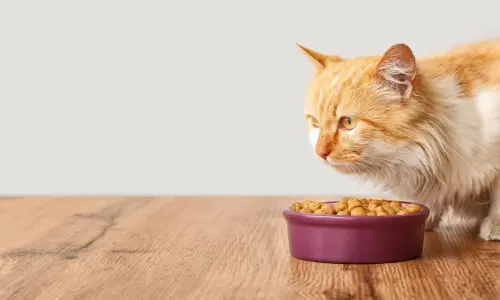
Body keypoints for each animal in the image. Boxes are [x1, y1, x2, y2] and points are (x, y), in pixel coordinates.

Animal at [296, 39, 500, 240]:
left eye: (348, 122)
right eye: (315, 123)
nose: (320, 153)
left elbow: (497, 194)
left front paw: (494, 224)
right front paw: (426, 216)